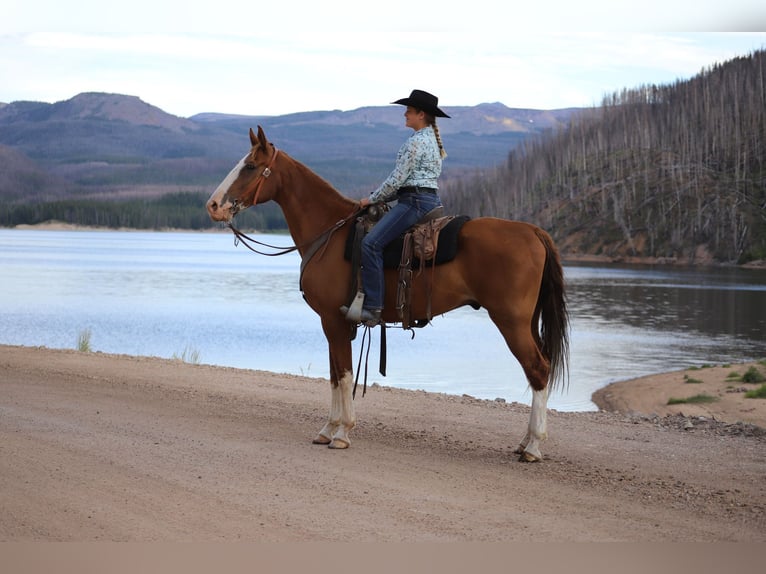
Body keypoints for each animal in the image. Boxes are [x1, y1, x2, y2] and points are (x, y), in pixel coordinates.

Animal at [206, 126, 568, 464]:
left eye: (250, 166)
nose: (213, 205)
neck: (329, 234)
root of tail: (533, 231)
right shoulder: (333, 323)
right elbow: (335, 374)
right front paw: (327, 429)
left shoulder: (333, 321)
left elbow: (343, 373)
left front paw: (342, 432)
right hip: (526, 321)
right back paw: (524, 442)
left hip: (511, 321)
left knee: (538, 369)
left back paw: (533, 447)